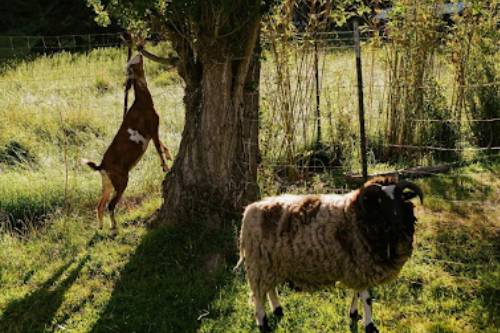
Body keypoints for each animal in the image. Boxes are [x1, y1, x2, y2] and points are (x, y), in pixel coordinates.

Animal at [83, 53, 172, 235]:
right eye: (131, 64)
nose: (139, 52)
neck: (142, 102)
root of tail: (101, 166)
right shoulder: (153, 129)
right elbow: (158, 148)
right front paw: (165, 167)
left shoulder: (152, 133)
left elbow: (162, 144)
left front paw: (170, 156)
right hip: (121, 182)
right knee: (111, 205)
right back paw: (114, 228)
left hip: (107, 184)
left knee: (100, 205)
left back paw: (101, 227)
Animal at [236, 175, 424, 330]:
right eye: (379, 201)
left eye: (401, 198)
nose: (398, 221)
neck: (357, 215)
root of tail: (249, 210)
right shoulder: (361, 263)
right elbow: (366, 298)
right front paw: (369, 325)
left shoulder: (356, 266)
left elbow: (357, 292)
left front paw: (354, 314)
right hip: (258, 263)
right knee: (258, 296)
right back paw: (263, 323)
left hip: (271, 263)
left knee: (270, 288)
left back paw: (278, 310)